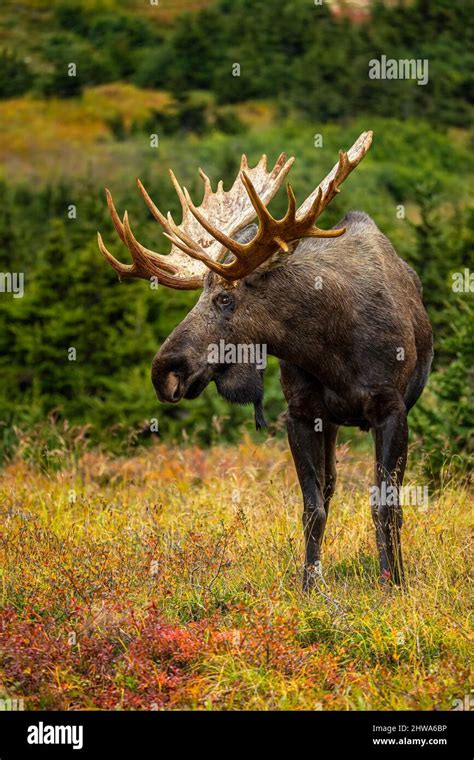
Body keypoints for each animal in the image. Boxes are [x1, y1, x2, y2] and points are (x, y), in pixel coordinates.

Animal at [99, 134, 434, 588]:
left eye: (225, 298)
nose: (164, 371)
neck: (332, 349)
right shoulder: (302, 412)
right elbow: (313, 507)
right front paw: (310, 584)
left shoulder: (392, 408)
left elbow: (386, 506)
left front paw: (393, 582)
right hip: (331, 422)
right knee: (330, 487)